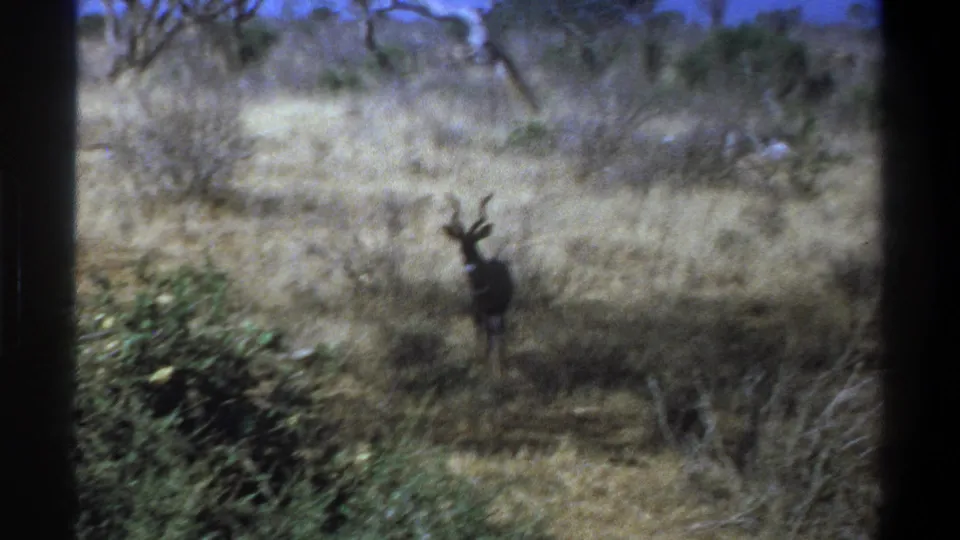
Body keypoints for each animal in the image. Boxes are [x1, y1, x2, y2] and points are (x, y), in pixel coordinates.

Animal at [442, 193, 515, 380]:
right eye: (461, 245)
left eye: (475, 242)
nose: (469, 267)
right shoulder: (477, 311)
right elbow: (480, 336)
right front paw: (478, 364)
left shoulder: (493, 311)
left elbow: (493, 338)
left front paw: (497, 371)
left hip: (500, 312)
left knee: (499, 333)